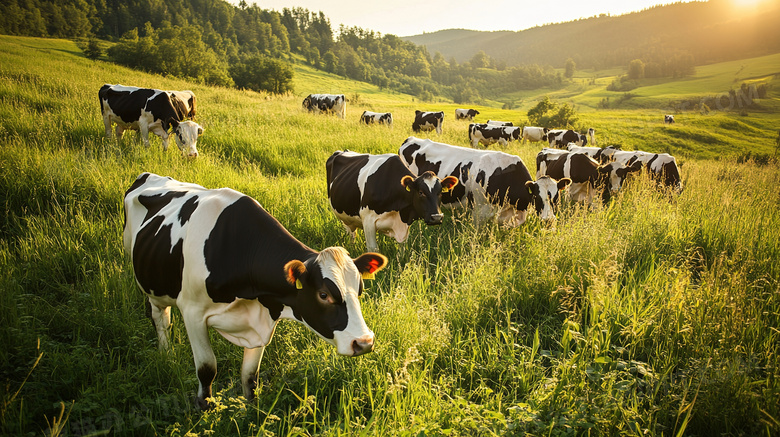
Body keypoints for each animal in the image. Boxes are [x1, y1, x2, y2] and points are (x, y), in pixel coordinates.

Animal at [123, 171, 388, 408]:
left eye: (360, 290)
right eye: (323, 295)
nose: (364, 342)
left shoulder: (261, 319)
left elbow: (250, 376)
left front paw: (252, 410)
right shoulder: (192, 312)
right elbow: (207, 368)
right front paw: (204, 408)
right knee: (160, 318)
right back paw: (165, 352)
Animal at [322, 152, 458, 250]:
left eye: (440, 192)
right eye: (421, 192)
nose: (437, 217)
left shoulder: (403, 224)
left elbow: (402, 248)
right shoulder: (368, 220)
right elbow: (373, 249)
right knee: (352, 233)